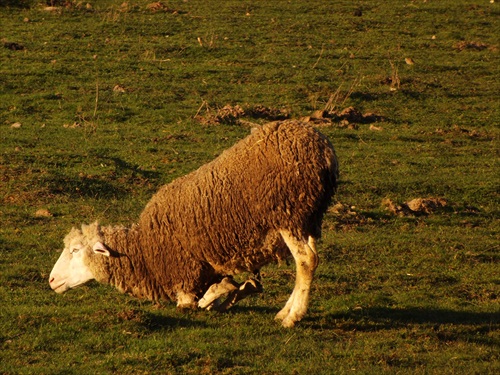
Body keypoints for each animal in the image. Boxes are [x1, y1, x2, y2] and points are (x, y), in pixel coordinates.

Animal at [48, 121, 338, 328]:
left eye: (75, 250)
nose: (51, 280)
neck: (145, 251)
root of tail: (322, 148)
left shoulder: (185, 279)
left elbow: (193, 304)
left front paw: (227, 293)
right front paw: (237, 289)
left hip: (287, 214)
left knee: (306, 261)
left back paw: (292, 317)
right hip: (309, 218)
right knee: (309, 259)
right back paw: (285, 310)